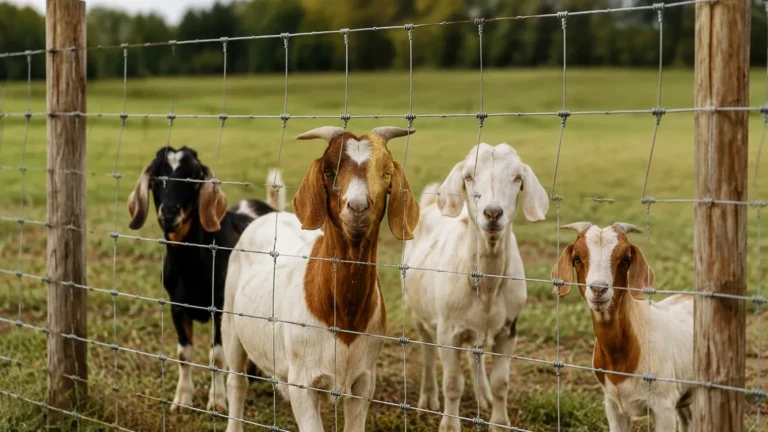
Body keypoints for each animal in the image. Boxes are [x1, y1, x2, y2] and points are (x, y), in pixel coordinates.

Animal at [127, 146, 285, 413]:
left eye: (194, 177)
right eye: (156, 178)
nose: (169, 214)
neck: (192, 266)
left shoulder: (220, 308)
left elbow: (217, 356)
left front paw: (218, 401)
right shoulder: (177, 307)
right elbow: (184, 354)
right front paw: (182, 400)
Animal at [222, 126, 420, 432]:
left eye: (386, 171)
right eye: (328, 170)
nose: (358, 207)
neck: (343, 316)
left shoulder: (365, 380)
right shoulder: (302, 383)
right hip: (230, 319)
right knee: (236, 380)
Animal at [404, 143, 549, 432]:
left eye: (518, 178)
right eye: (468, 176)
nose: (492, 213)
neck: (488, 284)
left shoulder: (509, 329)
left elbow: (501, 382)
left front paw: (499, 422)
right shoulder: (447, 330)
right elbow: (452, 383)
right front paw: (449, 425)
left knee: (475, 355)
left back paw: (484, 396)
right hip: (419, 312)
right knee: (427, 352)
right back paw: (429, 398)